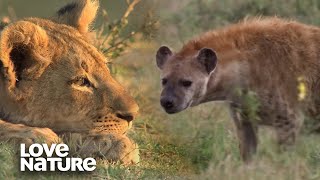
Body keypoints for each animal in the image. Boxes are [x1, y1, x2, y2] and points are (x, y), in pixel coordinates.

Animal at [156, 17, 320, 160]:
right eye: (164, 81)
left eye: (186, 82)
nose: (166, 101)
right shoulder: (244, 117)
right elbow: (247, 153)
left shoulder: (289, 118)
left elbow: (284, 156)